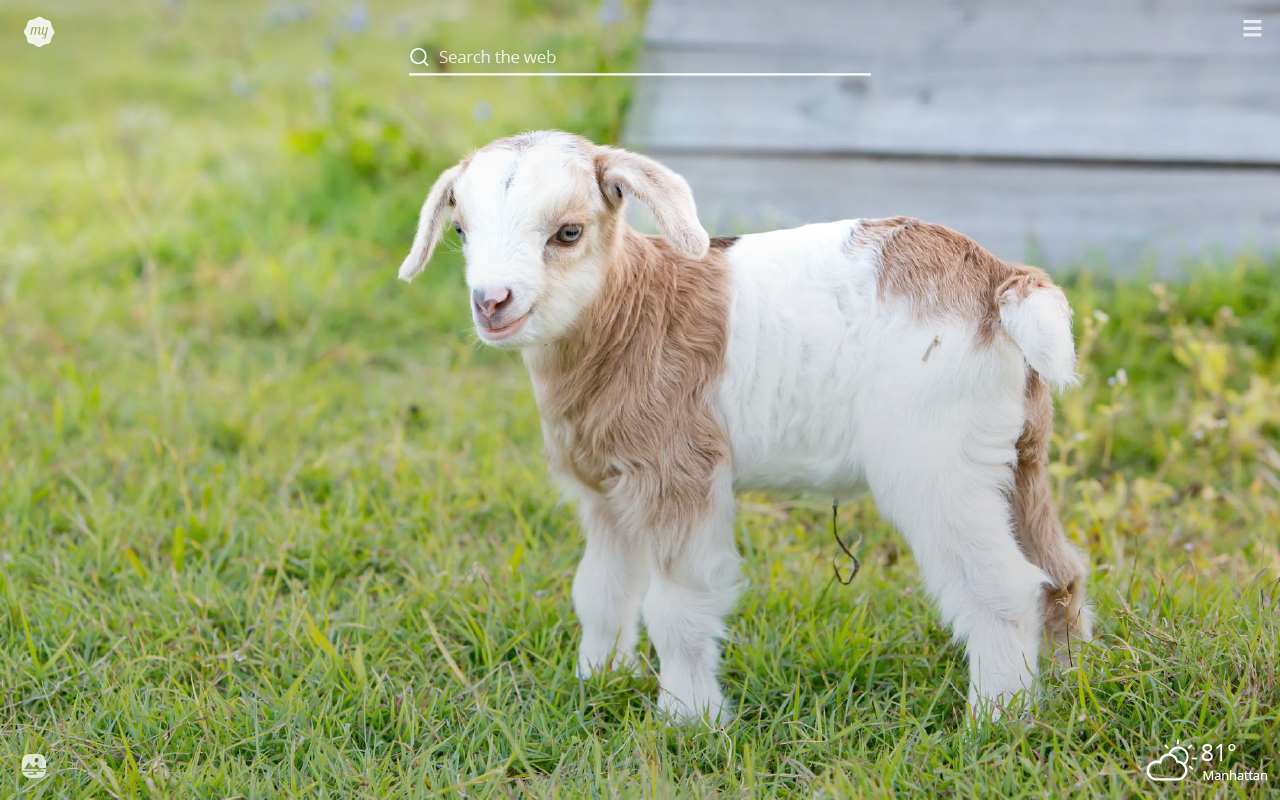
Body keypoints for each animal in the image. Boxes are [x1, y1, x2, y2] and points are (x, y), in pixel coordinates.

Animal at [398, 130, 1092, 723]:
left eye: (568, 232)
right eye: (460, 230)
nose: (492, 302)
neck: (631, 314)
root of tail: (999, 282)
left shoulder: (681, 473)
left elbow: (676, 608)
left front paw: (689, 721)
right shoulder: (607, 494)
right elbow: (599, 591)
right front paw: (597, 683)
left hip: (936, 462)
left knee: (1001, 587)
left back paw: (997, 719)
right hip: (1015, 454)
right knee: (1058, 570)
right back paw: (1071, 682)